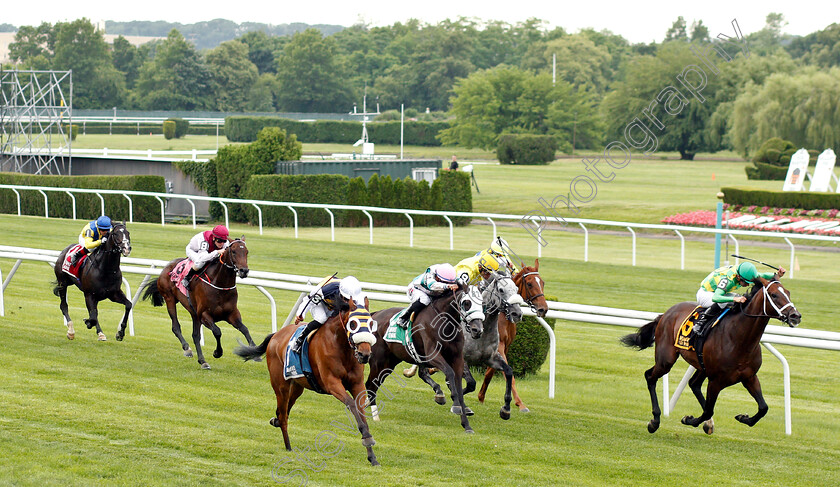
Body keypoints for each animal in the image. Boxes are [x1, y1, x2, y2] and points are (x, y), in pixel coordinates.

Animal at [142, 240, 253, 370]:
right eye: (234, 252)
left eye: (246, 252)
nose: (244, 271)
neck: (220, 285)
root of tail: (166, 267)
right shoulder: (205, 315)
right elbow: (217, 331)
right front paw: (217, 352)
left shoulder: (232, 314)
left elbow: (244, 329)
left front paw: (254, 350)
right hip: (170, 299)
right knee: (176, 327)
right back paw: (187, 349)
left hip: (194, 313)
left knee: (195, 335)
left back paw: (203, 361)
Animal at [235, 306, 382, 468]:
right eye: (353, 324)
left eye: (371, 324)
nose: (365, 354)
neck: (342, 347)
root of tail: (276, 335)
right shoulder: (332, 383)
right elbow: (351, 404)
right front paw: (367, 437)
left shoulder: (357, 385)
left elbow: (360, 411)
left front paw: (372, 456)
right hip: (280, 386)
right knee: (283, 414)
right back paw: (288, 446)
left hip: (297, 387)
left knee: (284, 410)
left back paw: (276, 421)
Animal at [368, 284, 486, 432]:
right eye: (466, 303)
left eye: (482, 303)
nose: (478, 330)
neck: (445, 321)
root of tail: (376, 314)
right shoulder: (432, 355)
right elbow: (449, 373)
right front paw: (455, 405)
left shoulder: (457, 358)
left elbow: (462, 384)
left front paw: (466, 423)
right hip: (379, 362)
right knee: (370, 386)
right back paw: (373, 416)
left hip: (390, 363)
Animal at [476, 260, 548, 412]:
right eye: (530, 284)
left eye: (542, 283)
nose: (543, 309)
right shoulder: (499, 345)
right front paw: (520, 403)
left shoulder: (505, 346)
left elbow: (490, 372)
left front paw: (481, 396)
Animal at [620, 278, 804, 434]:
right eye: (774, 294)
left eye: (788, 293)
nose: (795, 316)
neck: (739, 338)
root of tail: (665, 314)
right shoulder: (716, 380)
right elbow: (709, 409)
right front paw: (689, 419)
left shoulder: (749, 377)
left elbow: (763, 408)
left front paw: (743, 418)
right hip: (666, 359)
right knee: (650, 376)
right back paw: (655, 421)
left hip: (701, 365)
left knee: (693, 384)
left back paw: (707, 423)